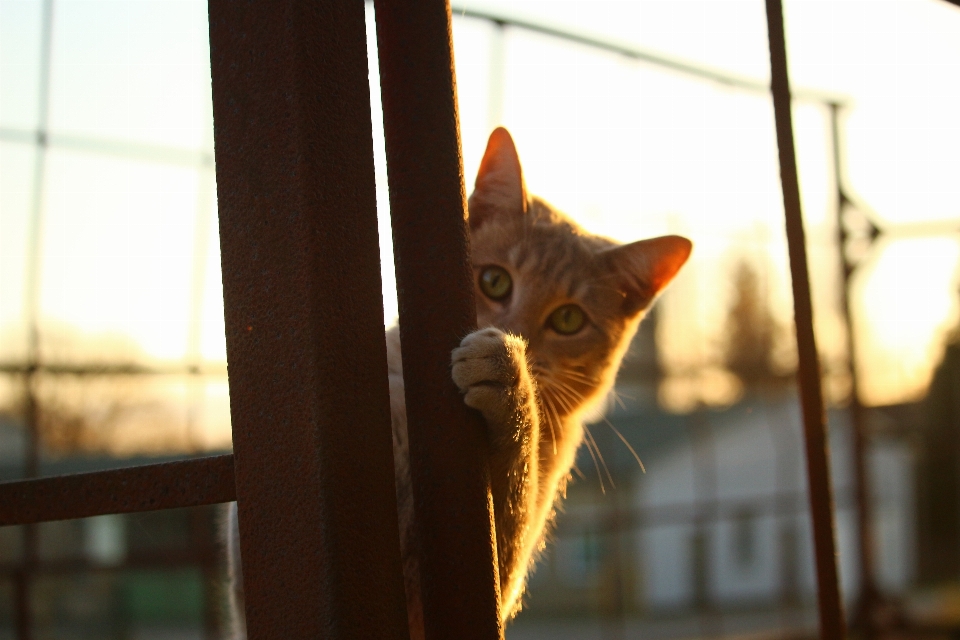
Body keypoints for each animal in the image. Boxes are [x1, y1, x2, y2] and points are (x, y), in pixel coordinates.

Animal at [225, 127, 688, 636]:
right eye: (494, 281)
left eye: (569, 319)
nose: (518, 339)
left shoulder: (484, 583)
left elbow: (510, 498)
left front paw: (509, 380)